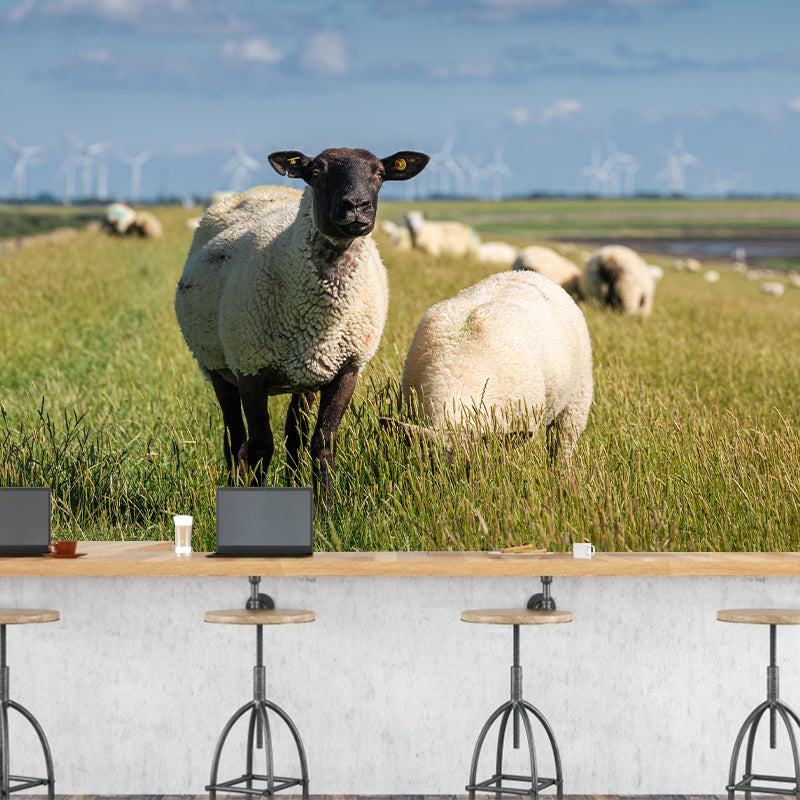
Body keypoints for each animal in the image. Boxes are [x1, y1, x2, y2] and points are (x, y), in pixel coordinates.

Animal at [174, 146, 429, 508]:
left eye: (380, 173)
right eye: (317, 171)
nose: (356, 206)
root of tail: (259, 189)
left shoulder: (346, 369)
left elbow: (323, 442)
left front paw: (326, 510)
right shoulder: (250, 367)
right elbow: (260, 446)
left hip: (305, 377)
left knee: (294, 436)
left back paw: (295, 485)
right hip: (216, 365)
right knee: (235, 440)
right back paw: (235, 483)